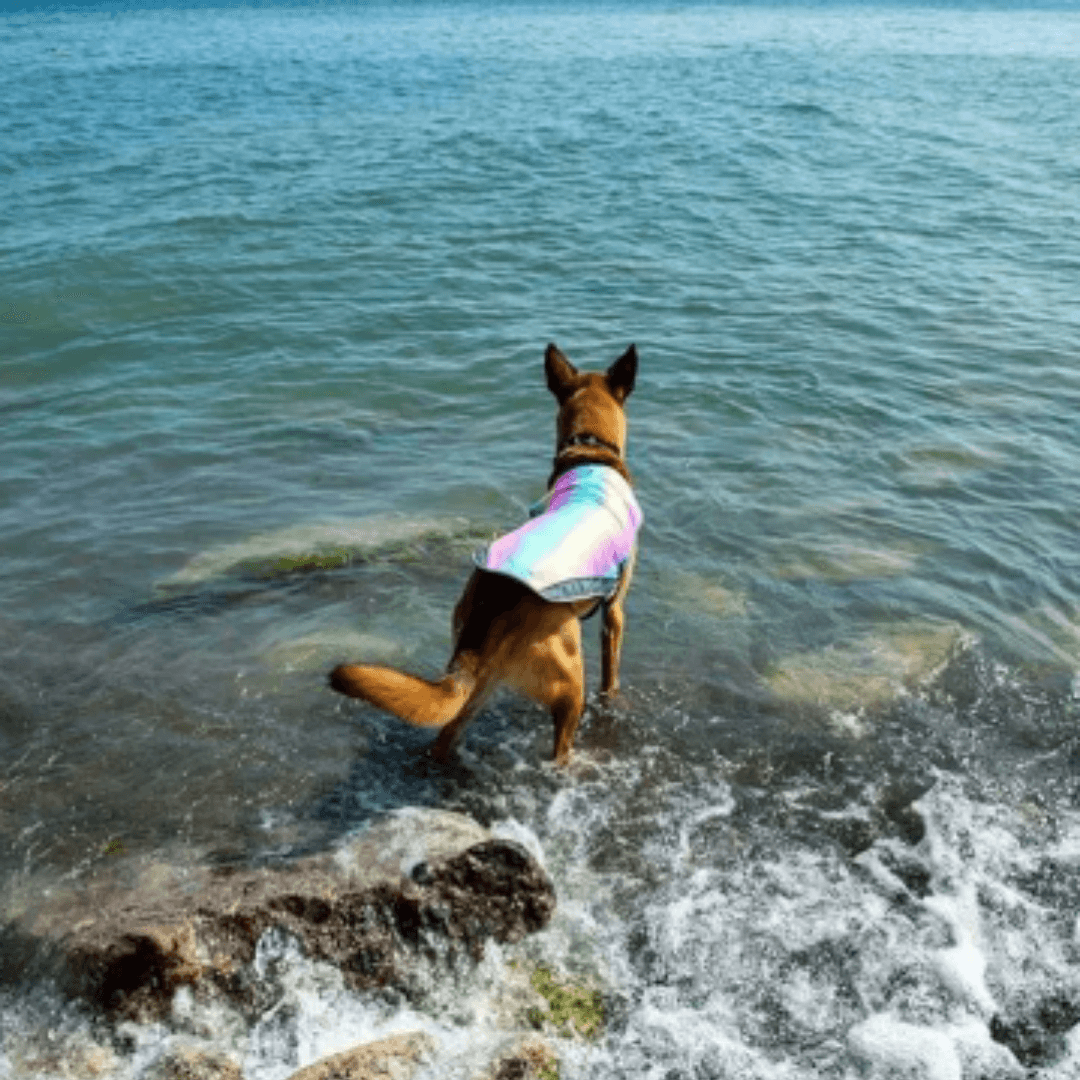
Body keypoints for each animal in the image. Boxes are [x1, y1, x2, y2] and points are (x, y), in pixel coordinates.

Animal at [328, 341, 639, 764]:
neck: (589, 451)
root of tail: (494, 599)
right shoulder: (615, 611)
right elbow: (612, 673)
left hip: (482, 681)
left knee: (446, 734)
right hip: (567, 683)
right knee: (559, 750)